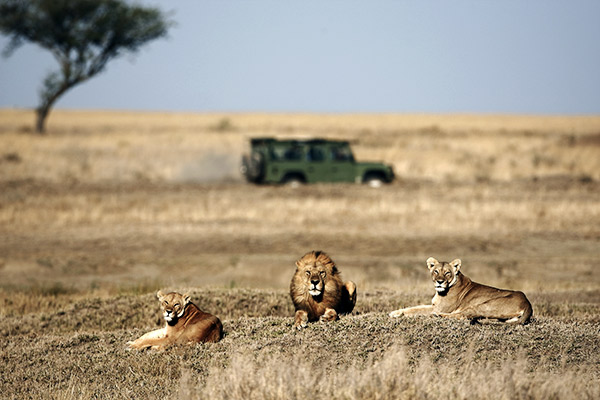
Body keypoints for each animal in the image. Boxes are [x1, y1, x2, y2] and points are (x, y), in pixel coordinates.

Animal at [392, 258, 532, 324]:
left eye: (447, 273)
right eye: (436, 271)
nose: (440, 282)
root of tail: (527, 303)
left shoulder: (439, 308)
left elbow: (416, 310)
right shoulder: (434, 305)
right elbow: (414, 307)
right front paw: (396, 312)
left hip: (484, 305)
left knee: (464, 315)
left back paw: (438, 316)